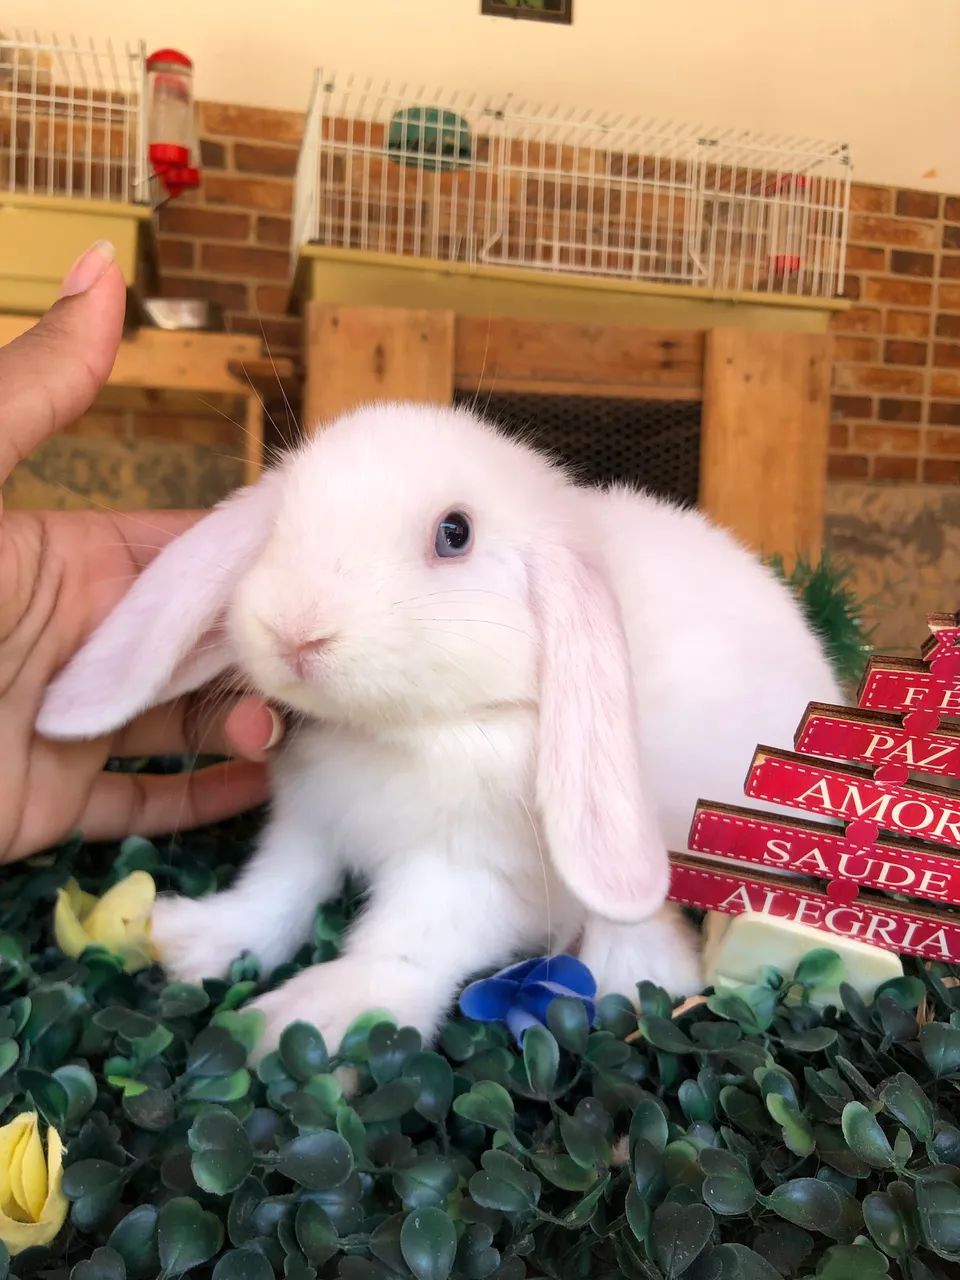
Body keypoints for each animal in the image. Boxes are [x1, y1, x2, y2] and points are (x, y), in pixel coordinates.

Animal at [36, 401, 843, 1055]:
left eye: (454, 533)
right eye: (282, 519)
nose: (295, 631)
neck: (404, 733)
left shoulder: (476, 876)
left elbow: (406, 942)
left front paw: (311, 1018)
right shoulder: (310, 824)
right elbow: (280, 889)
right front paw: (198, 937)